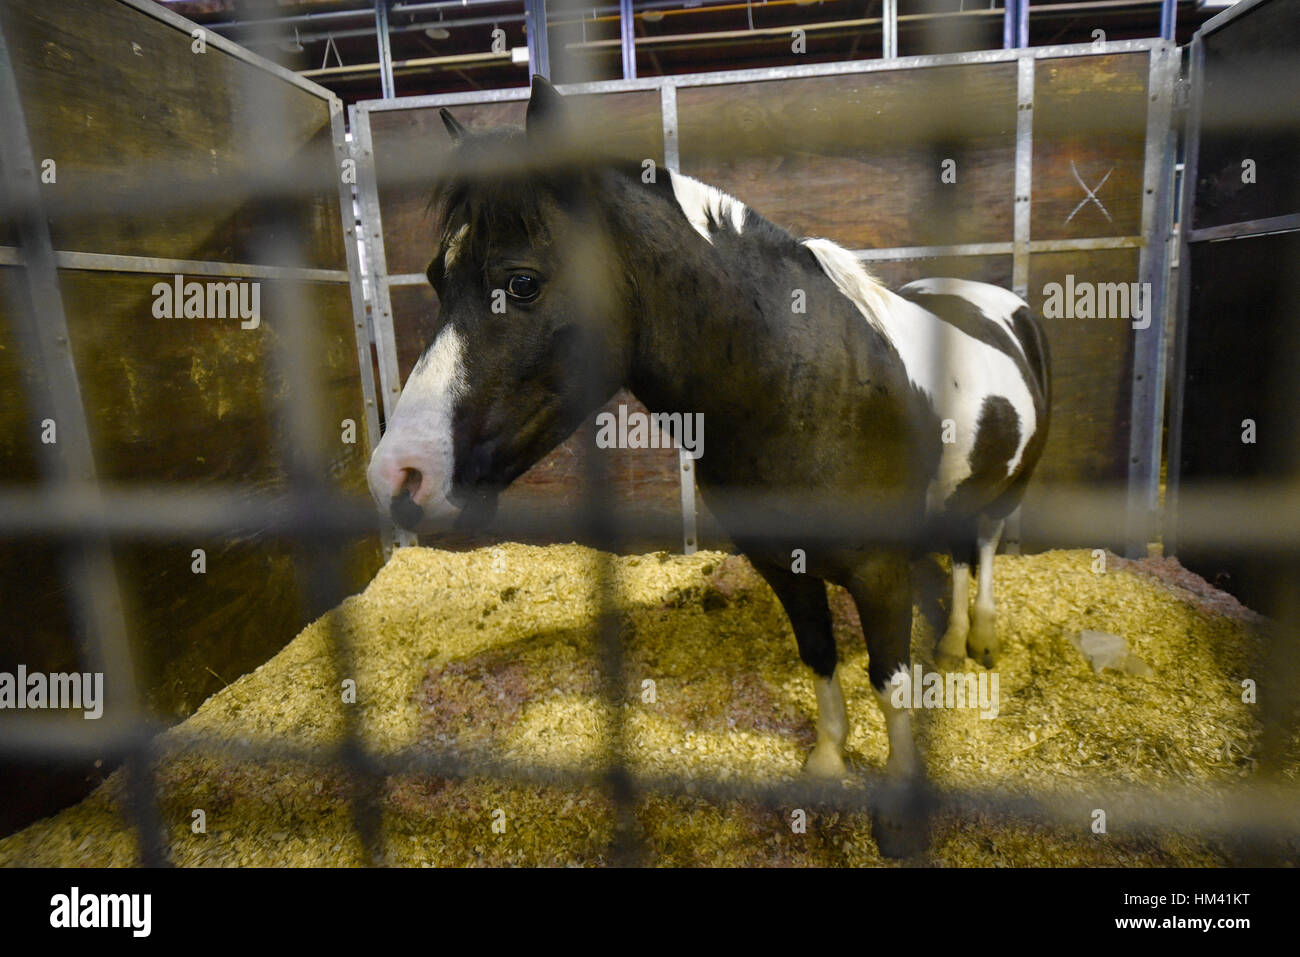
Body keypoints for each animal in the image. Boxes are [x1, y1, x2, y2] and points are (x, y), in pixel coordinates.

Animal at [366, 76, 1051, 857]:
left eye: (524, 282)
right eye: (435, 279)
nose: (399, 476)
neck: (808, 386)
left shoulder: (880, 572)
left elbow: (889, 680)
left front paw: (902, 814)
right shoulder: (784, 566)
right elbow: (819, 655)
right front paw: (826, 759)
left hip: (1004, 493)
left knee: (985, 549)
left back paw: (982, 636)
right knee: (962, 555)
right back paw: (957, 636)